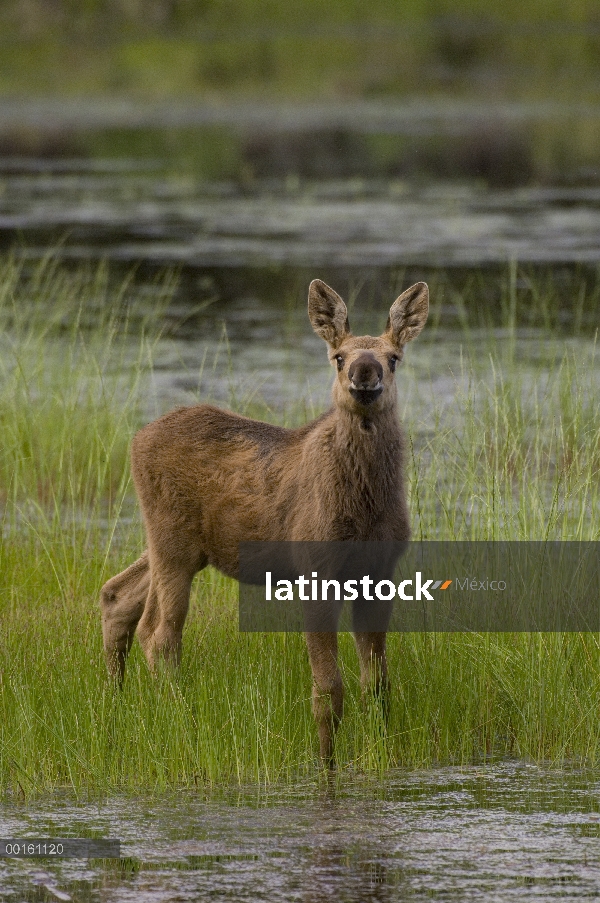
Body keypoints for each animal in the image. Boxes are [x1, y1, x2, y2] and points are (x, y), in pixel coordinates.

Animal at [101, 280, 428, 764]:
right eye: (338, 357)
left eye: (393, 357)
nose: (365, 374)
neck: (365, 507)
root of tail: (136, 439)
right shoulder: (317, 571)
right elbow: (329, 688)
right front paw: (327, 762)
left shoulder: (379, 572)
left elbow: (378, 683)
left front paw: (383, 751)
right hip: (172, 542)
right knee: (159, 633)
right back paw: (179, 720)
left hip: (183, 547)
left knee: (117, 595)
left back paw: (117, 702)